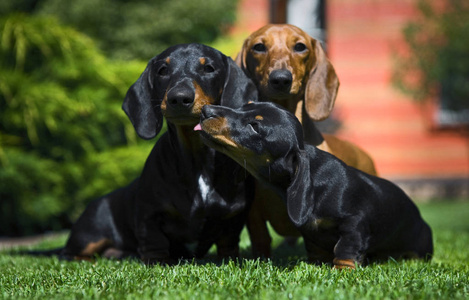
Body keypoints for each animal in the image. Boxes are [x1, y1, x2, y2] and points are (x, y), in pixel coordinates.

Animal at [196, 102, 434, 268]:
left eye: (255, 126)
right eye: (245, 105)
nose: (206, 110)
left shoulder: (355, 223)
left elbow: (346, 249)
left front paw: (341, 271)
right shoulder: (311, 234)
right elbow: (315, 250)